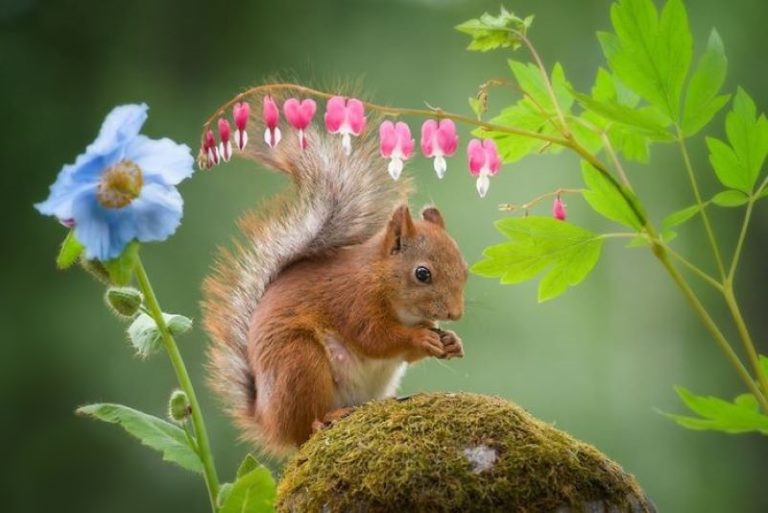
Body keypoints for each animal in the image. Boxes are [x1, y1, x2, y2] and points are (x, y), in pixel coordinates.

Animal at [202, 102, 468, 454]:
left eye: (465, 268)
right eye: (422, 274)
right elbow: (376, 338)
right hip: (299, 362)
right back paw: (327, 418)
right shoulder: (353, 301)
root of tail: (268, 421)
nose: (455, 313)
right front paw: (420, 338)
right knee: (305, 427)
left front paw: (451, 341)